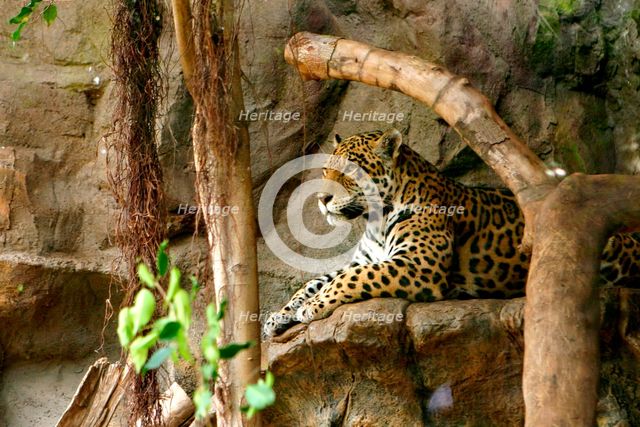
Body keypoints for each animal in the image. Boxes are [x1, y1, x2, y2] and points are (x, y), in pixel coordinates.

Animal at [262, 129, 640, 339]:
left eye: (351, 170)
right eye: (327, 169)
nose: (322, 199)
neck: (375, 218)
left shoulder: (418, 266)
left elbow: (352, 279)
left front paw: (312, 307)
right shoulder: (368, 258)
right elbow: (315, 280)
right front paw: (280, 314)